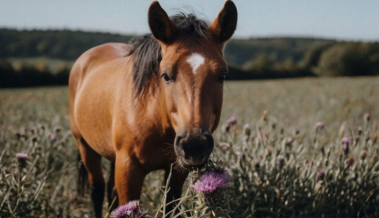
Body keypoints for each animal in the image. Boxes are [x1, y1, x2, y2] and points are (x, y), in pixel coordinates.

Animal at [69, 0, 238, 217]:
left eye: (222, 75)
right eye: (165, 75)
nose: (195, 145)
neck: (154, 119)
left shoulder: (176, 170)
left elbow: (169, 205)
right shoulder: (129, 169)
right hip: (85, 146)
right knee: (96, 190)